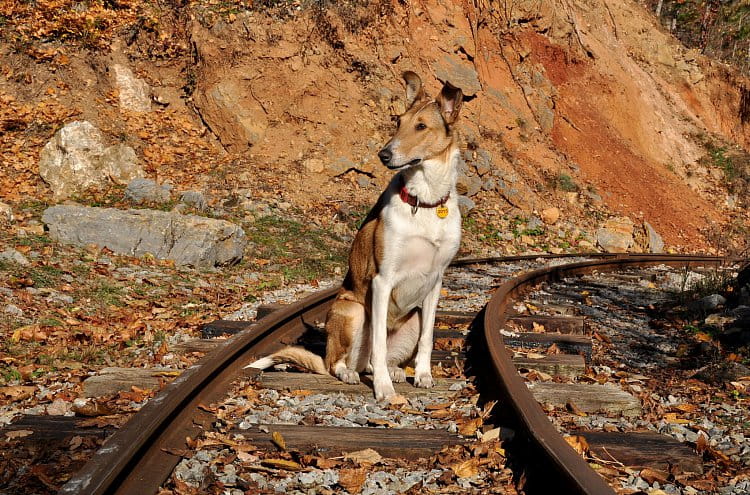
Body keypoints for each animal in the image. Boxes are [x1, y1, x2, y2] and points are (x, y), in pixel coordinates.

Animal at [250, 71, 464, 402]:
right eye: (398, 121)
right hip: (352, 311)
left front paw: (424, 376)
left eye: (421, 126)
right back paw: (351, 374)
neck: (425, 202)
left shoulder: (435, 282)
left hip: (412, 319)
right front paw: (384, 391)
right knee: (342, 361)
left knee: (377, 360)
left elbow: (428, 339)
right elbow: (377, 343)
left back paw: (394, 371)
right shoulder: (382, 279)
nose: (384, 154)